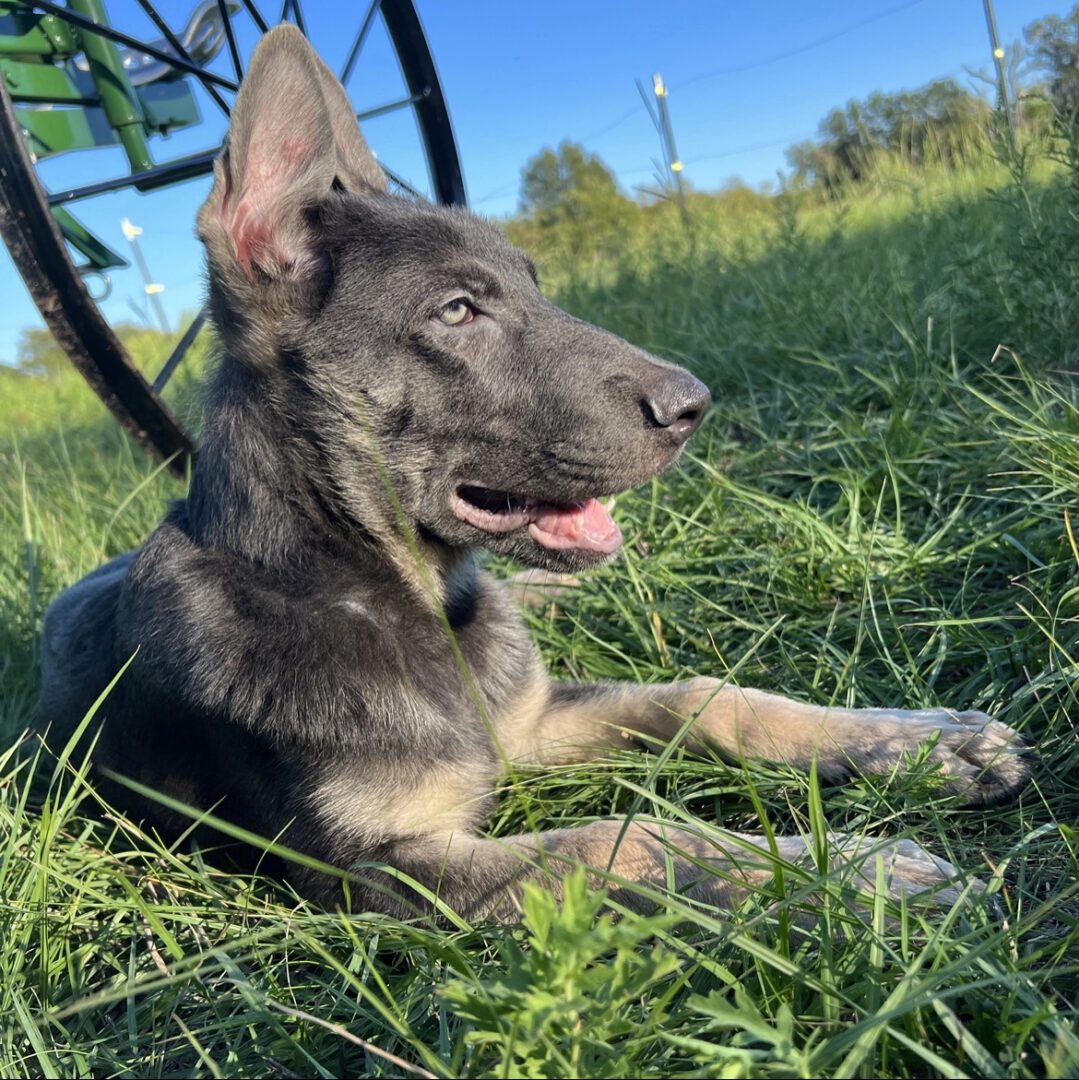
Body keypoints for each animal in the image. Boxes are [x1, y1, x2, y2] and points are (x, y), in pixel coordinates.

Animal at [38, 25, 1032, 920]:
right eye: (457, 311)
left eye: (534, 286)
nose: (695, 406)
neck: (386, 599)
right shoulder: (386, 871)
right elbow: (631, 837)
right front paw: (857, 871)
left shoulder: (533, 721)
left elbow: (708, 698)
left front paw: (914, 745)